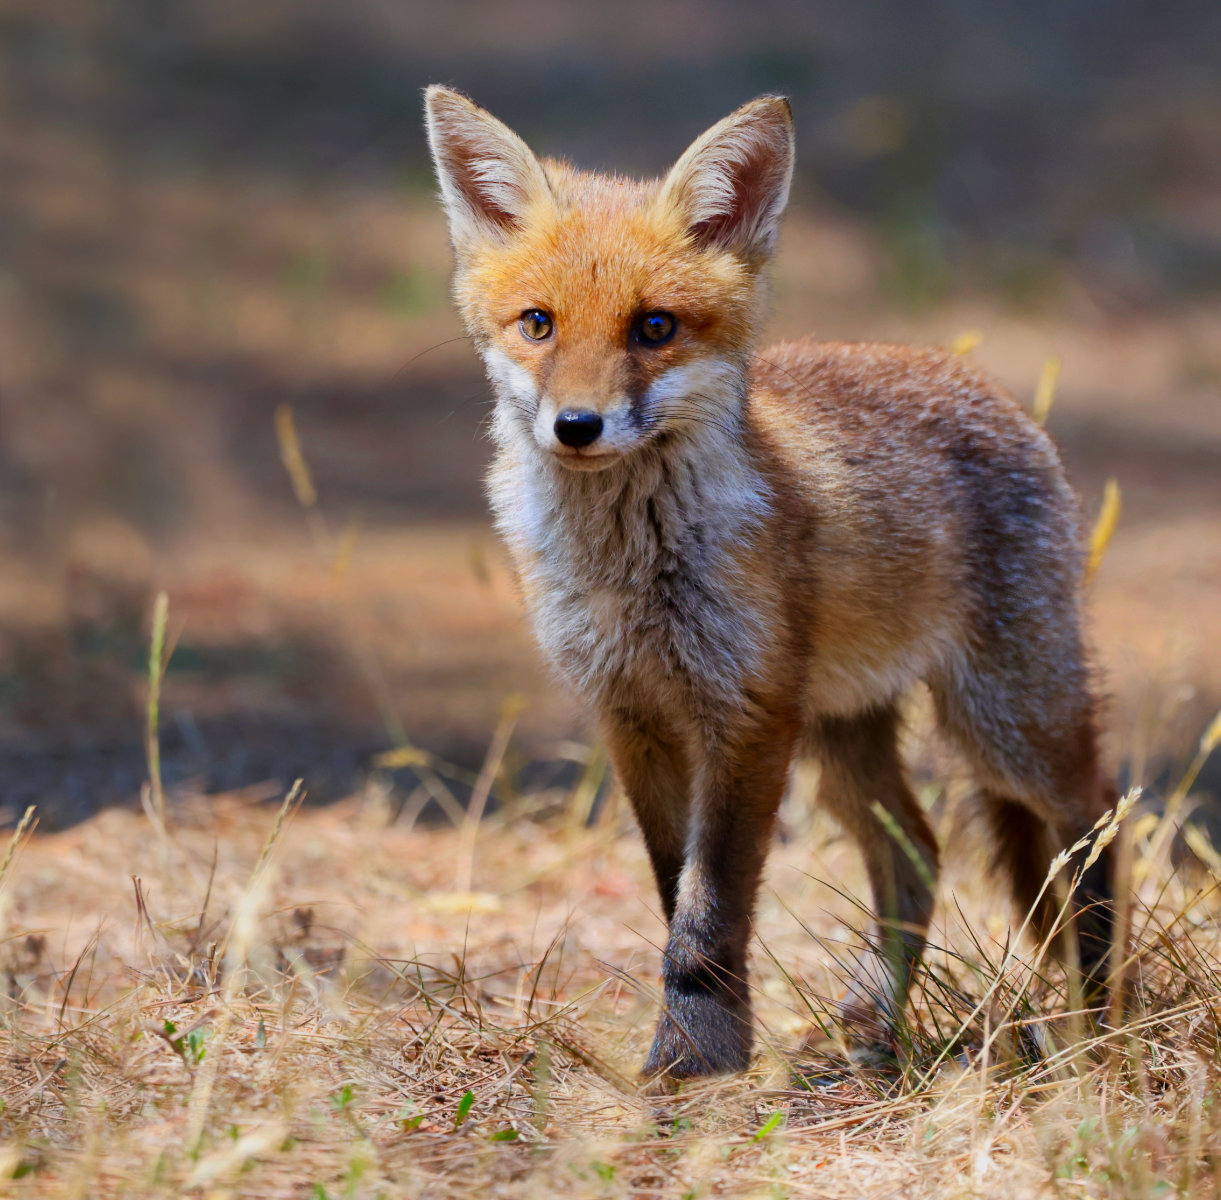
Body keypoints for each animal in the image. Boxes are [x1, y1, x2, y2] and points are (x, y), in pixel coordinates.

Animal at [423, 85, 1116, 1081]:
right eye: (538, 323)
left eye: (654, 327)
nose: (577, 426)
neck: (633, 572)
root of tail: (970, 375)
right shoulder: (631, 712)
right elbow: (674, 887)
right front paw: (708, 1048)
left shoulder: (746, 715)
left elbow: (709, 909)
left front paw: (694, 1059)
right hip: (843, 730)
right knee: (917, 854)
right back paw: (868, 1031)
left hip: (1002, 721)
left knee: (1093, 818)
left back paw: (1098, 1018)